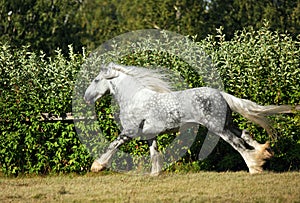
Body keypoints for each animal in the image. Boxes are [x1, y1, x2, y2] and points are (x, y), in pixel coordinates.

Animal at [84, 62, 296, 175]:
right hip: (227, 123)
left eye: (96, 80)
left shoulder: (128, 132)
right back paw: (265, 152)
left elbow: (112, 145)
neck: (134, 98)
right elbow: (154, 154)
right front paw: (155, 174)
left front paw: (97, 166)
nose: (86, 98)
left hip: (218, 128)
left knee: (238, 144)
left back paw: (254, 167)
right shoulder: (150, 135)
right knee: (245, 133)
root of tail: (220, 94)